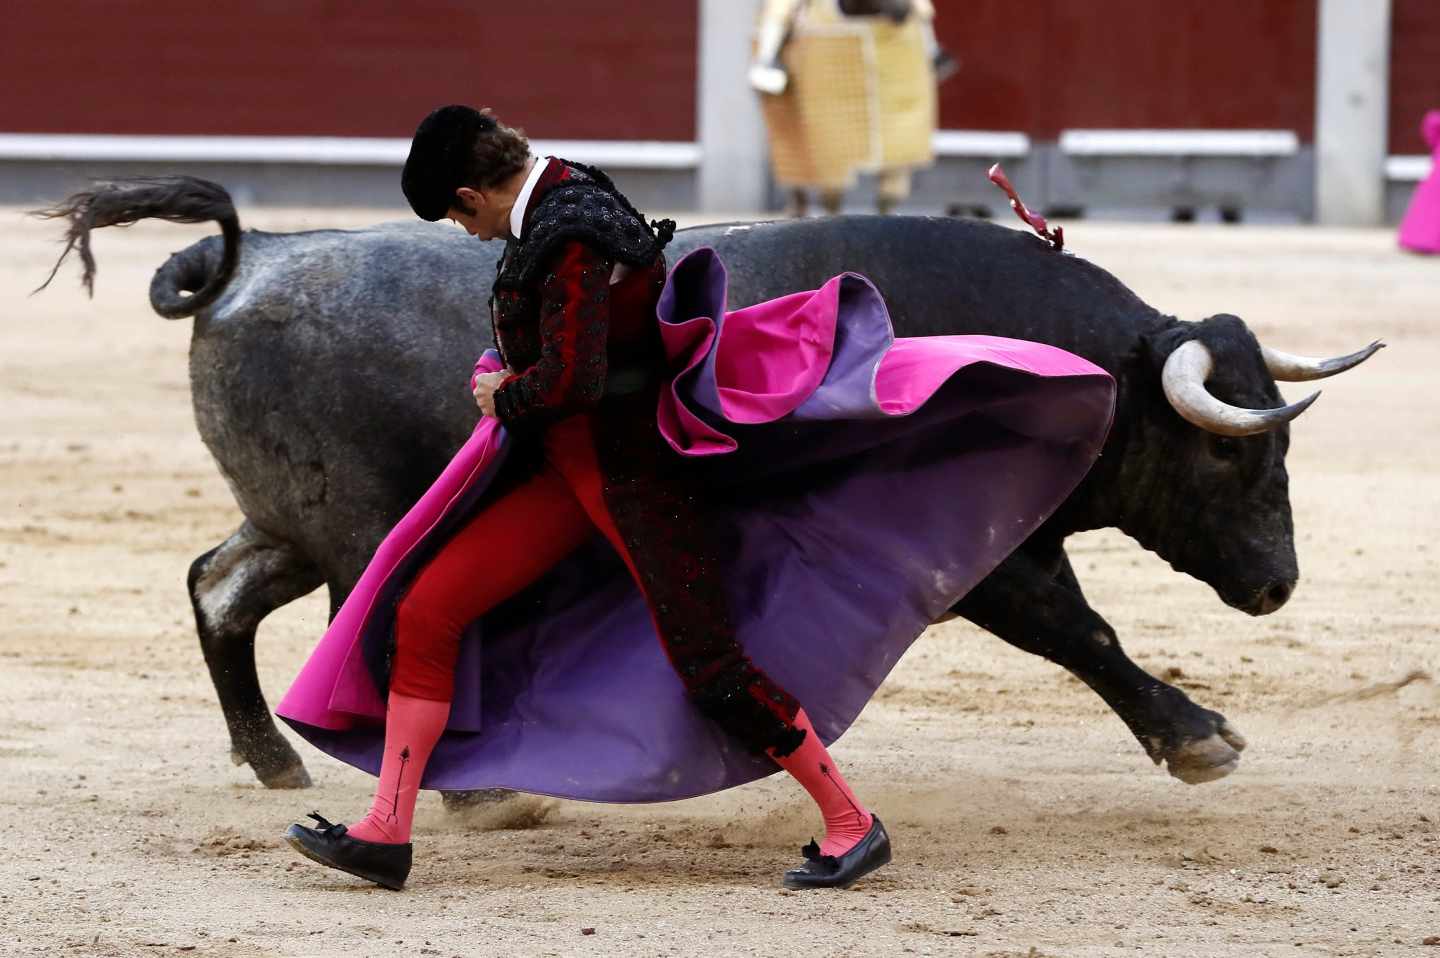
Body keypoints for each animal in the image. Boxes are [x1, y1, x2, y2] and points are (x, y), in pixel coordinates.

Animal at [39, 175, 1376, 789]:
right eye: (1228, 447)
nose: (1277, 585)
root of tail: (250, 256)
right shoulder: (986, 552)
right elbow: (1080, 628)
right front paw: (1199, 737)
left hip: (292, 517)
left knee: (219, 588)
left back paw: (272, 759)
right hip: (360, 529)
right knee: (360, 624)